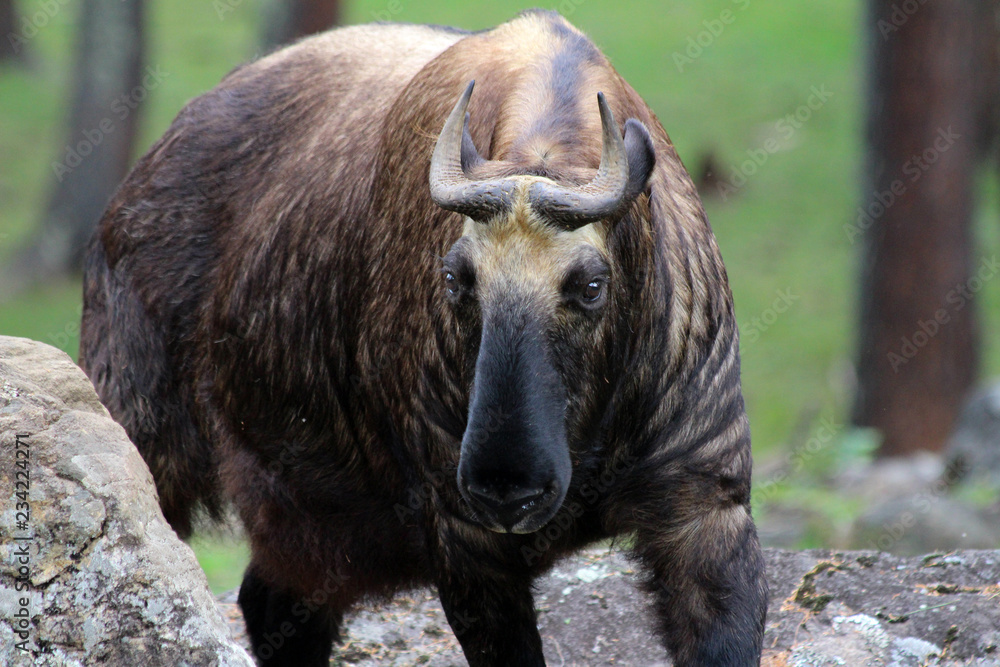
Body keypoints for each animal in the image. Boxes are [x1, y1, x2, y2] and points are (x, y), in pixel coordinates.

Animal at [79, 10, 767, 666]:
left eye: (592, 285)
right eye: (454, 277)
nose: (507, 488)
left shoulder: (706, 509)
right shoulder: (466, 547)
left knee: (271, 601)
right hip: (149, 446)